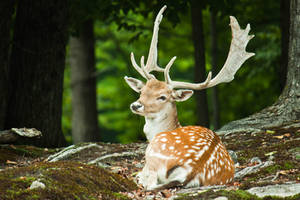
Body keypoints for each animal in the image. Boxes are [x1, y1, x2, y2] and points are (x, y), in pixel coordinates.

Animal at [124, 5, 255, 190]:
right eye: (142, 91)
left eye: (162, 97)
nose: (136, 105)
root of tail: (191, 169)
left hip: (154, 154)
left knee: (149, 183)